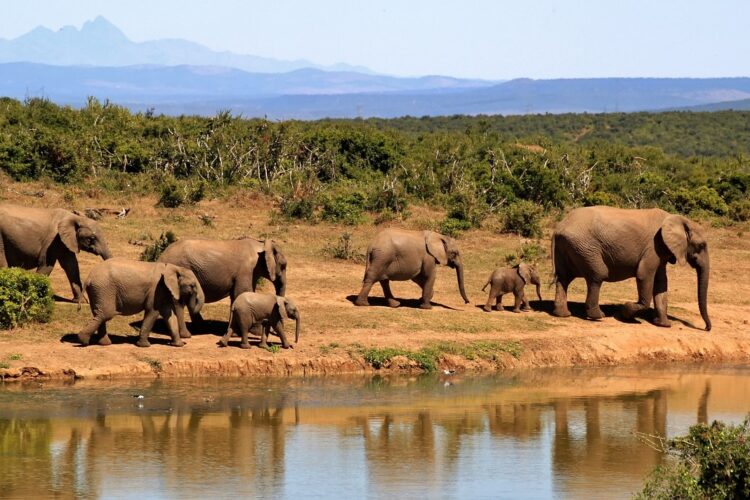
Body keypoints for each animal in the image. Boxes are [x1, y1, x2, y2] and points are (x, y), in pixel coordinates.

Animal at [159, 237, 288, 338]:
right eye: (284, 265)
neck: (261, 245)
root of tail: (161, 256)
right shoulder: (246, 271)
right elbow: (242, 293)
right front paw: (253, 333)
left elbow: (238, 296)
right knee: (178, 301)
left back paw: (201, 327)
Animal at [552, 205, 712, 330]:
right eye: (701, 245)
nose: (706, 328)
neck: (678, 219)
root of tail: (559, 227)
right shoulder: (653, 247)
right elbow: (644, 275)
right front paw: (626, 312)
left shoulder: (661, 250)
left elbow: (661, 283)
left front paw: (663, 325)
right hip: (585, 247)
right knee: (597, 275)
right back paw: (598, 316)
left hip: (569, 247)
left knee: (563, 278)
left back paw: (563, 314)